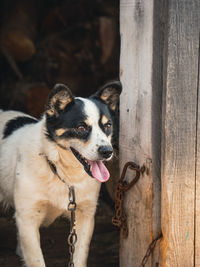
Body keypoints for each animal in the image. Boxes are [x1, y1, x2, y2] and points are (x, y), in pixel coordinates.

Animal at [0, 82, 122, 267]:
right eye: (81, 127)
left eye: (107, 126)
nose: (107, 151)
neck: (60, 170)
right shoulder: (28, 216)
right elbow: (36, 260)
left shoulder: (85, 215)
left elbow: (79, 257)